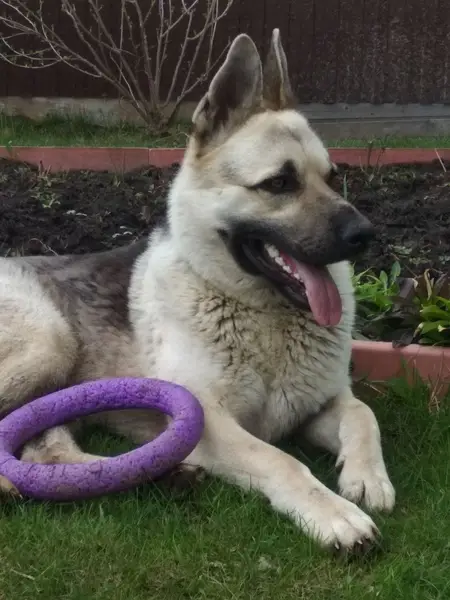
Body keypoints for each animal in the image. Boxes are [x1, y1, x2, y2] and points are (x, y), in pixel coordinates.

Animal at [0, 29, 395, 553]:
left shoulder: (322, 406)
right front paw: (332, 513)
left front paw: (367, 477)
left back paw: (159, 475)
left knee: (46, 452)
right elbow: (281, 460)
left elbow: (363, 414)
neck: (262, 314)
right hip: (49, 343)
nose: (365, 234)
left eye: (332, 177)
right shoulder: (211, 421)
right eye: (279, 183)